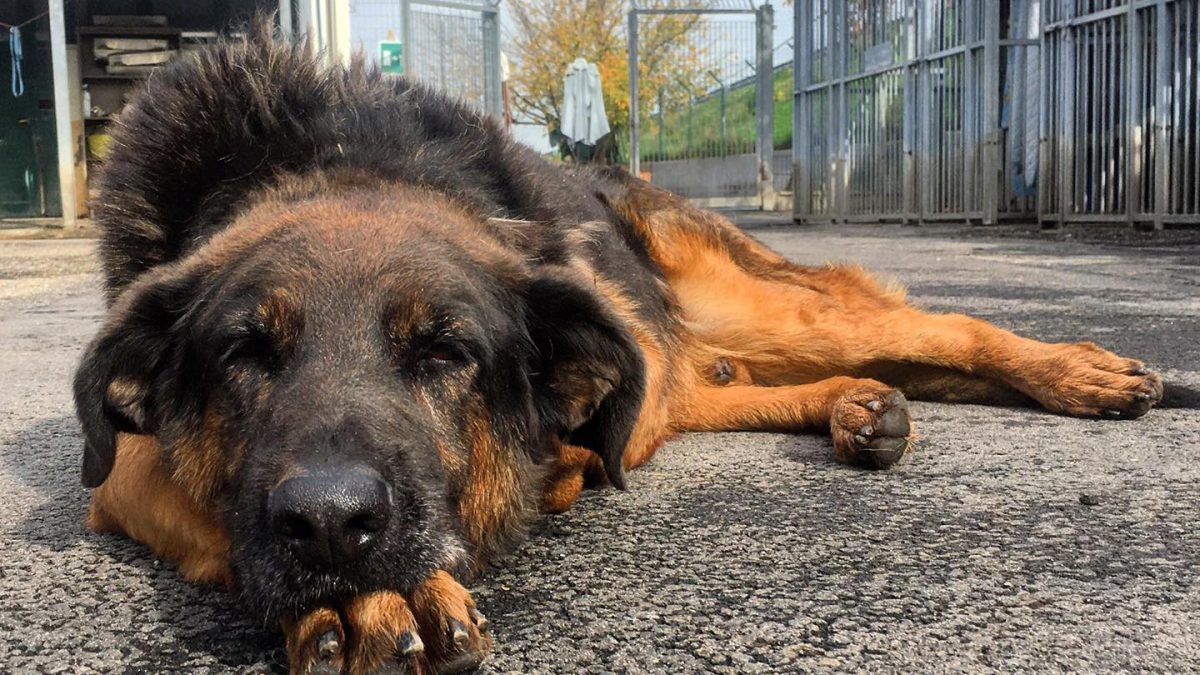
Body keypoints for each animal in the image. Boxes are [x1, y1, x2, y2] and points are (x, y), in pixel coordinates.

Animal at [75, 32, 1161, 672]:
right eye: (243, 352)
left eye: (447, 351)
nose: (333, 529)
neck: (330, 164)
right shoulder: (118, 474)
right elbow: (181, 488)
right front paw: (350, 600)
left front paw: (381, 592)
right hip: (674, 360)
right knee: (714, 387)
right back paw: (855, 407)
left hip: (757, 307)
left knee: (934, 328)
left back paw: (1085, 371)